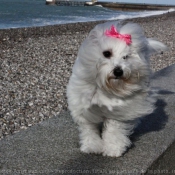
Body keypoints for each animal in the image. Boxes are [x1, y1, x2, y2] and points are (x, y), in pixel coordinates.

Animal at [66, 20, 167, 157]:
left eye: (126, 57)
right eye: (107, 53)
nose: (118, 71)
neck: (107, 88)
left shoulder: (119, 111)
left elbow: (113, 131)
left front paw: (113, 149)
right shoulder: (84, 109)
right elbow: (89, 130)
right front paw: (92, 146)